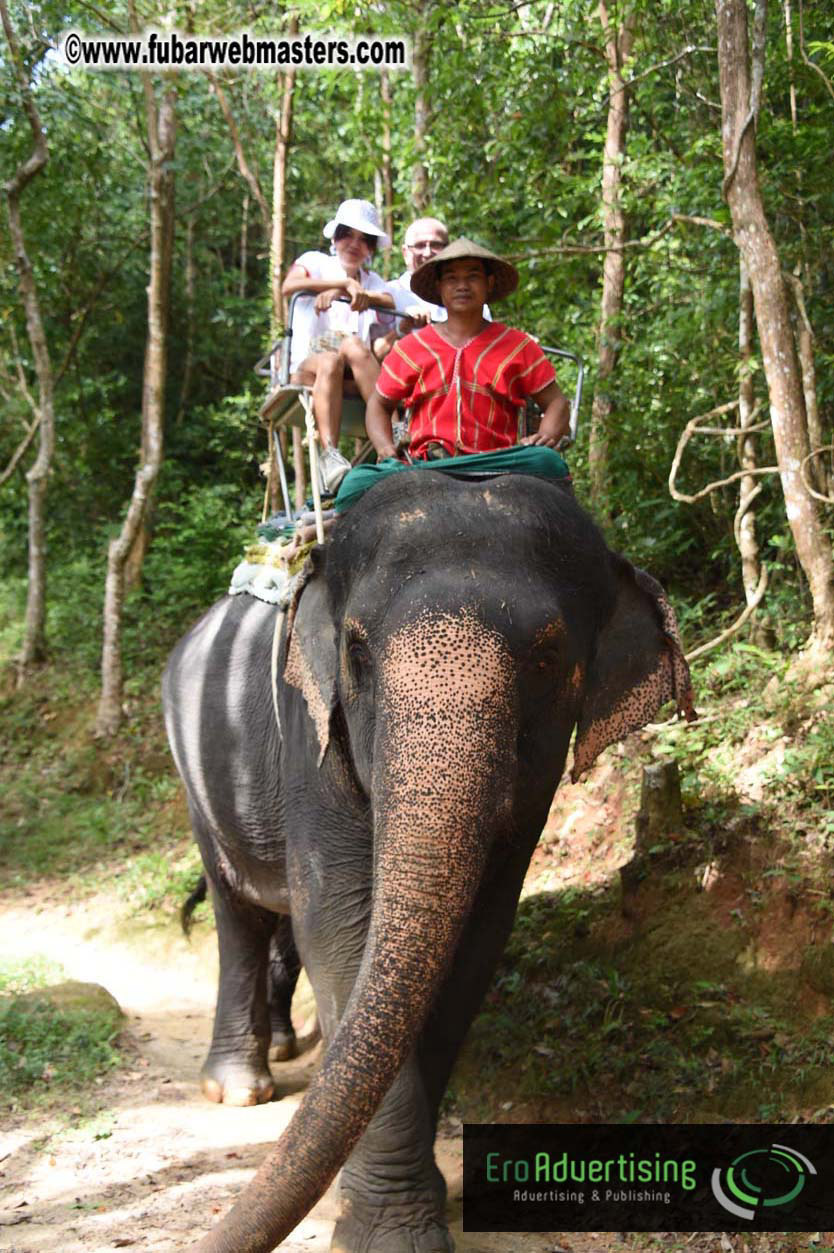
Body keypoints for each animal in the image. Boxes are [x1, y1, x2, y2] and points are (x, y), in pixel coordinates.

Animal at [162, 468, 694, 1253]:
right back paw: (238, 1087)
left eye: (547, 658)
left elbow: (470, 946)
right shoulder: (311, 738)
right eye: (356, 654)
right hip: (196, 773)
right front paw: (389, 1235)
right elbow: (342, 931)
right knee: (240, 914)